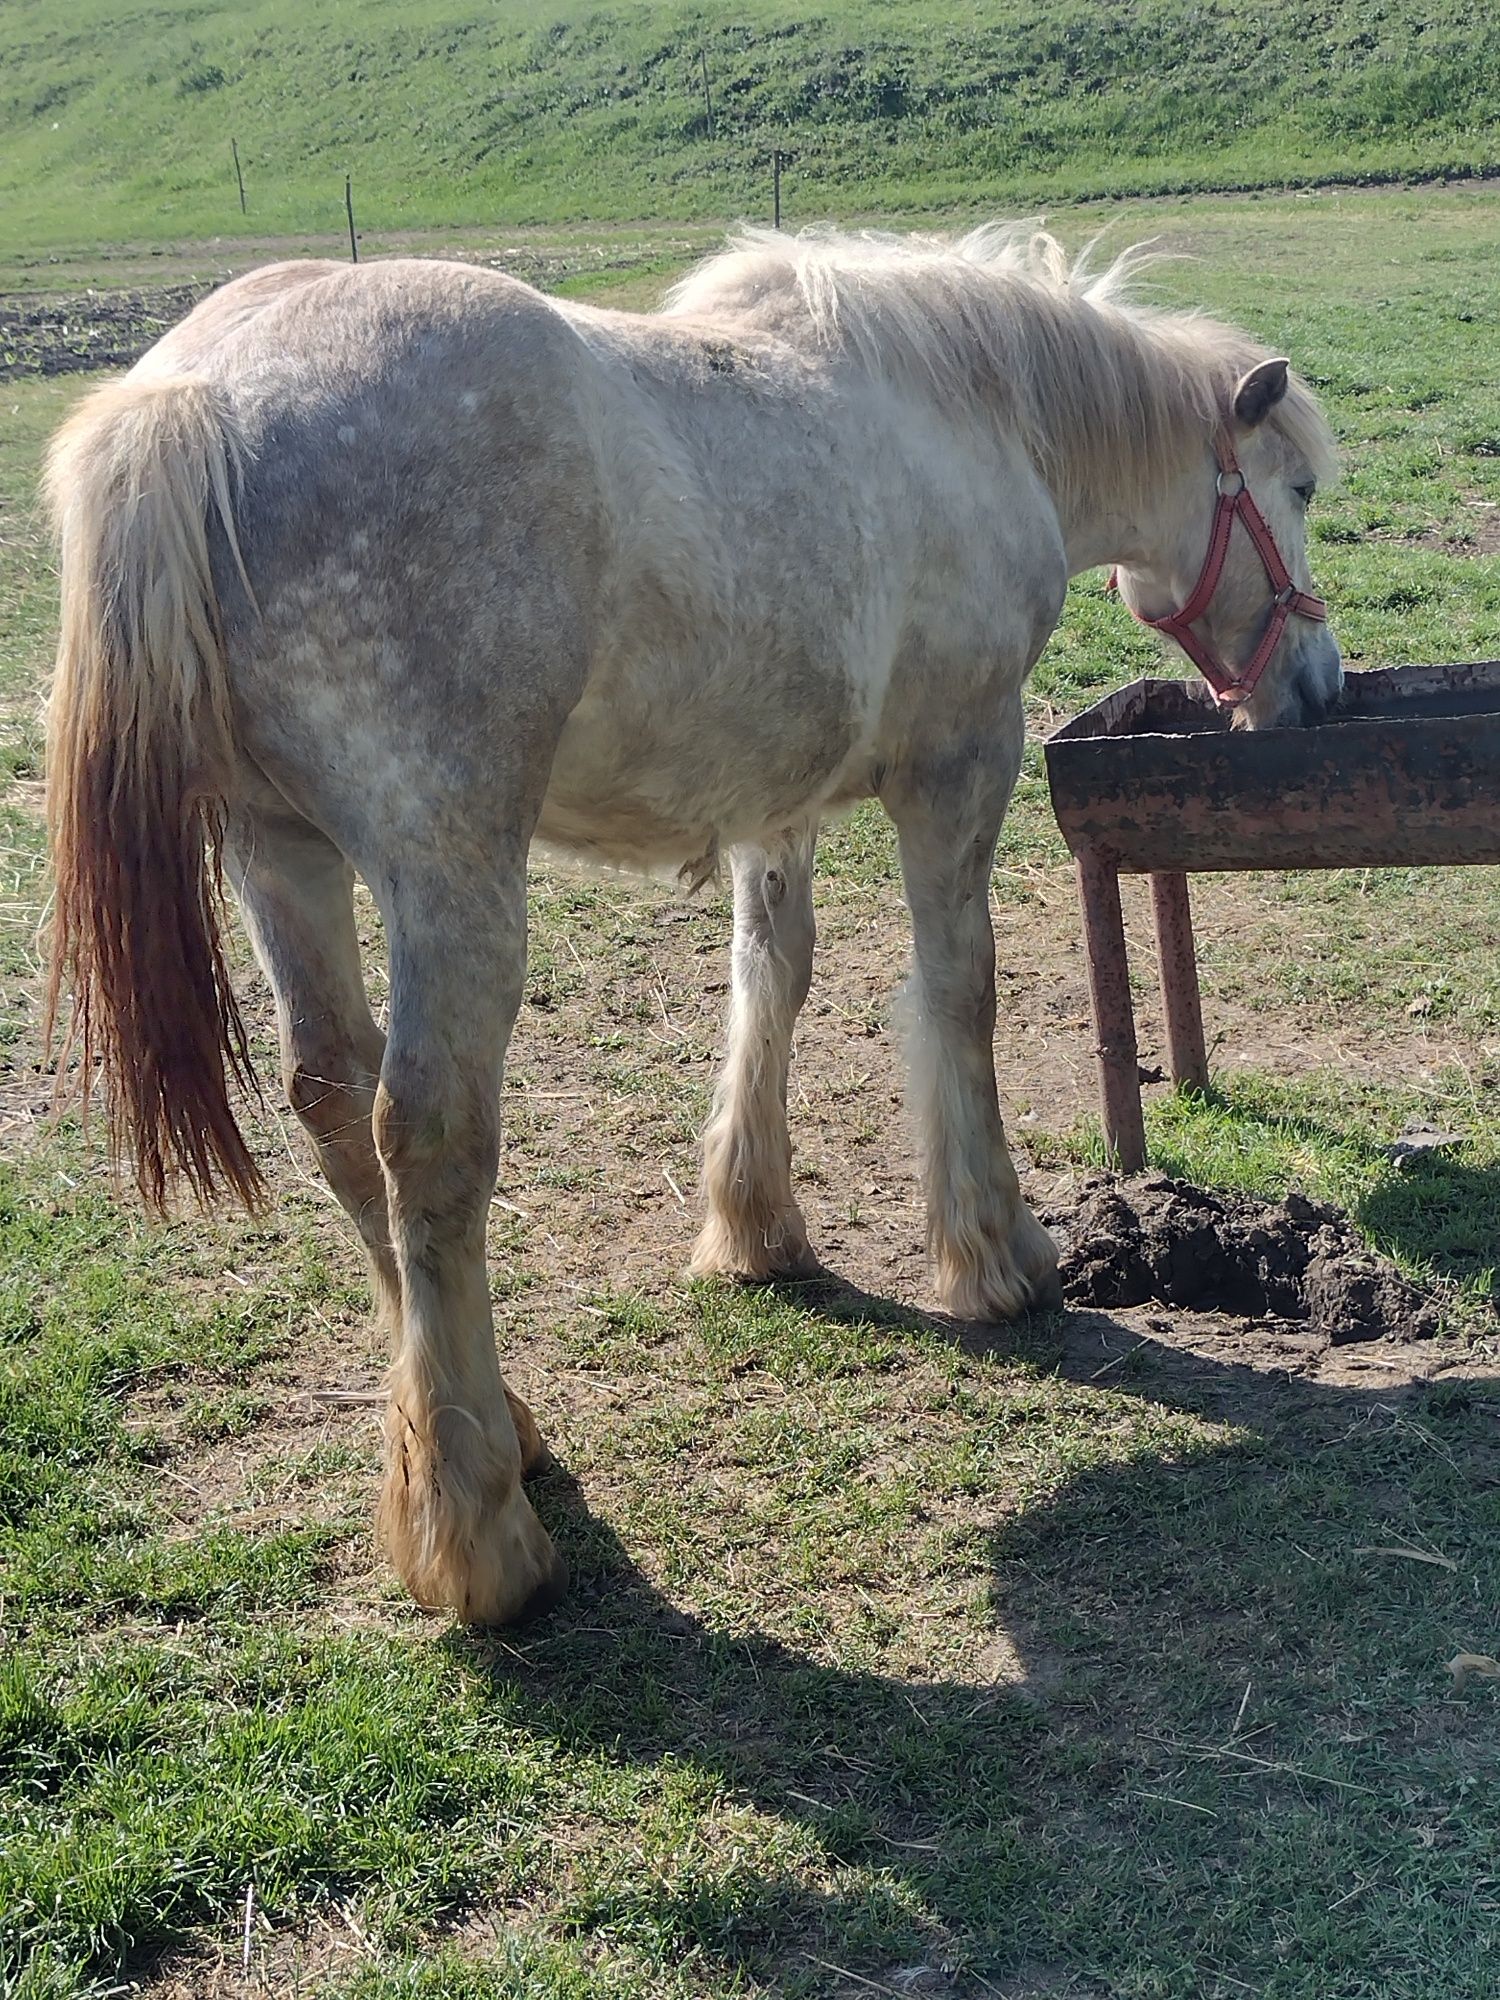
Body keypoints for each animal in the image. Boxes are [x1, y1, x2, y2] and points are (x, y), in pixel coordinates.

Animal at [44, 223, 1336, 1624]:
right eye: (1300, 490)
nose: (1319, 693)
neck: (974, 409)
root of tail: (199, 392)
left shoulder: (774, 799)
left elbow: (772, 980)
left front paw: (756, 1225)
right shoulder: (961, 763)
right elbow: (960, 989)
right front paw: (996, 1255)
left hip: (279, 853)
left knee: (334, 1106)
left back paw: (490, 1424)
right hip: (448, 869)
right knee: (425, 1139)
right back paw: (477, 1526)